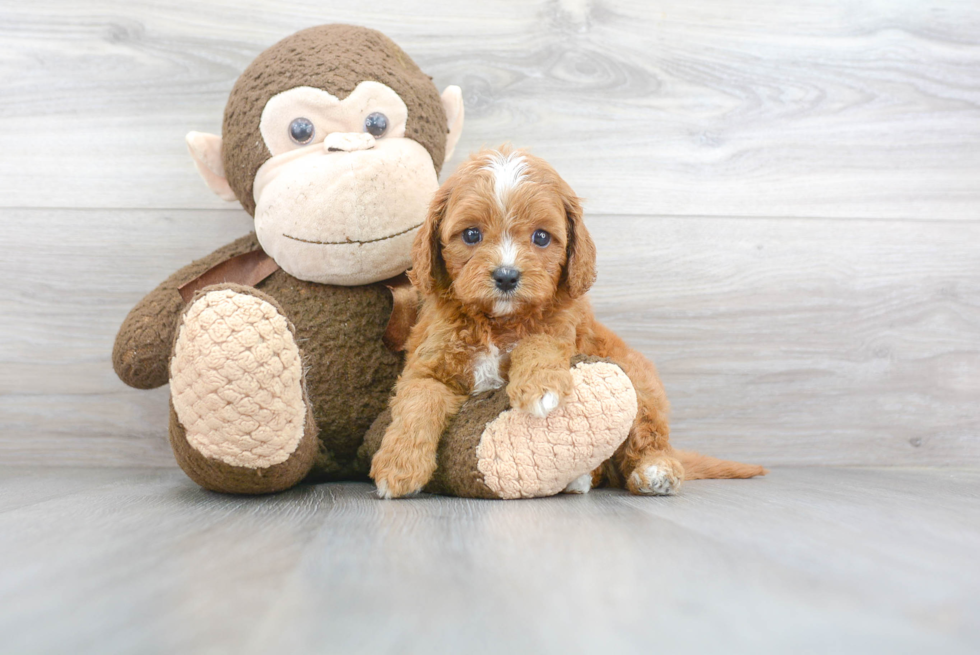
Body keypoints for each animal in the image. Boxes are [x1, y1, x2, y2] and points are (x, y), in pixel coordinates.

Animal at [372, 147, 760, 498]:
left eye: (541, 237)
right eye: (471, 235)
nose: (507, 276)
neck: (499, 321)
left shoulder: (563, 326)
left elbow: (540, 341)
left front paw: (540, 385)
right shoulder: (429, 363)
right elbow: (418, 402)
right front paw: (398, 467)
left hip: (637, 377)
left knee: (647, 434)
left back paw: (653, 470)